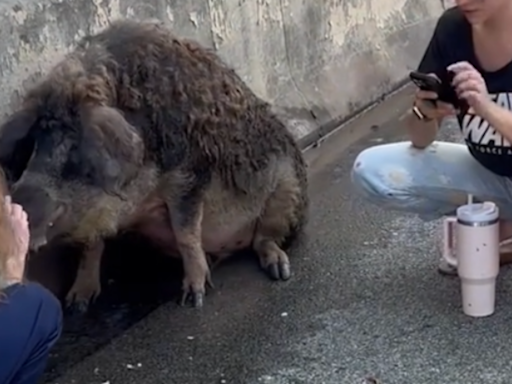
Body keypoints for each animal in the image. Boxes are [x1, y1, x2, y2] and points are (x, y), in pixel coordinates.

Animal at [0, 18, 308, 312]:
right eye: (34, 146)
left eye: (73, 147)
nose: (19, 202)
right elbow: (91, 245)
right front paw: (76, 305)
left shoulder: (190, 174)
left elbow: (186, 232)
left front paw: (193, 299)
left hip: (288, 191)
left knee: (266, 238)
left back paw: (280, 270)